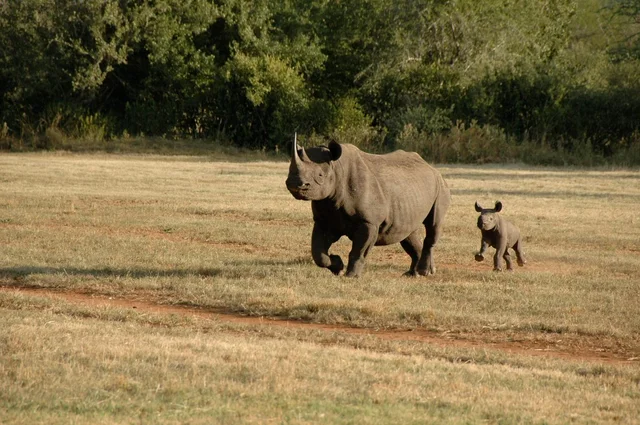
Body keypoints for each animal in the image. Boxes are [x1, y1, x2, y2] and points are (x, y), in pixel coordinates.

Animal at [285, 134, 451, 277]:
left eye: (320, 176)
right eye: (289, 170)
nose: (294, 183)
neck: (337, 169)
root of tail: (430, 166)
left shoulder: (369, 221)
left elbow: (359, 251)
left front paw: (351, 276)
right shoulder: (324, 219)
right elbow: (318, 253)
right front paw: (338, 266)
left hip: (440, 186)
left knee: (433, 225)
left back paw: (423, 272)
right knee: (408, 233)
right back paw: (415, 274)